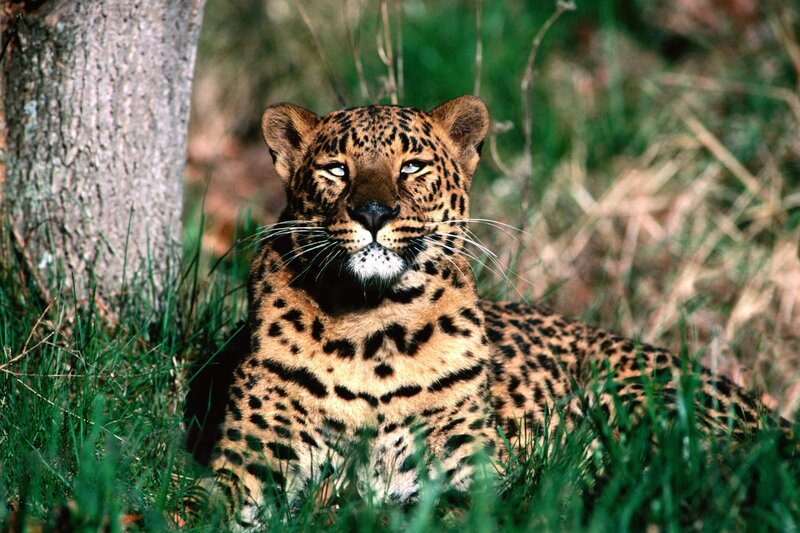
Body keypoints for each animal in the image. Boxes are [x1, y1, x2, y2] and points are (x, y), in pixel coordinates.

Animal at [200, 95, 779, 528]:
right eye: (336, 170)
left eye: (412, 166)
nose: (373, 212)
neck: (370, 329)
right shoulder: (250, 464)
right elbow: (202, 506)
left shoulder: (475, 475)